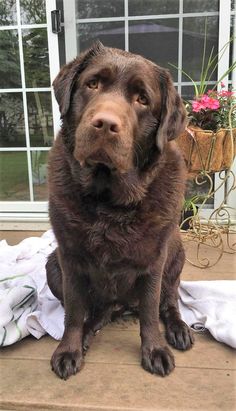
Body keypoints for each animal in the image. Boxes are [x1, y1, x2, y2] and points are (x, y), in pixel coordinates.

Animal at [45, 43, 194, 382]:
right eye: (92, 84)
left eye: (142, 100)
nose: (105, 124)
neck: (109, 203)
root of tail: (120, 305)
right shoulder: (69, 258)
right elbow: (74, 311)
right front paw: (69, 349)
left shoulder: (154, 261)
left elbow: (151, 310)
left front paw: (155, 350)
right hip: (52, 268)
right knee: (95, 311)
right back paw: (89, 331)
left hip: (176, 255)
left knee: (169, 301)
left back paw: (178, 330)